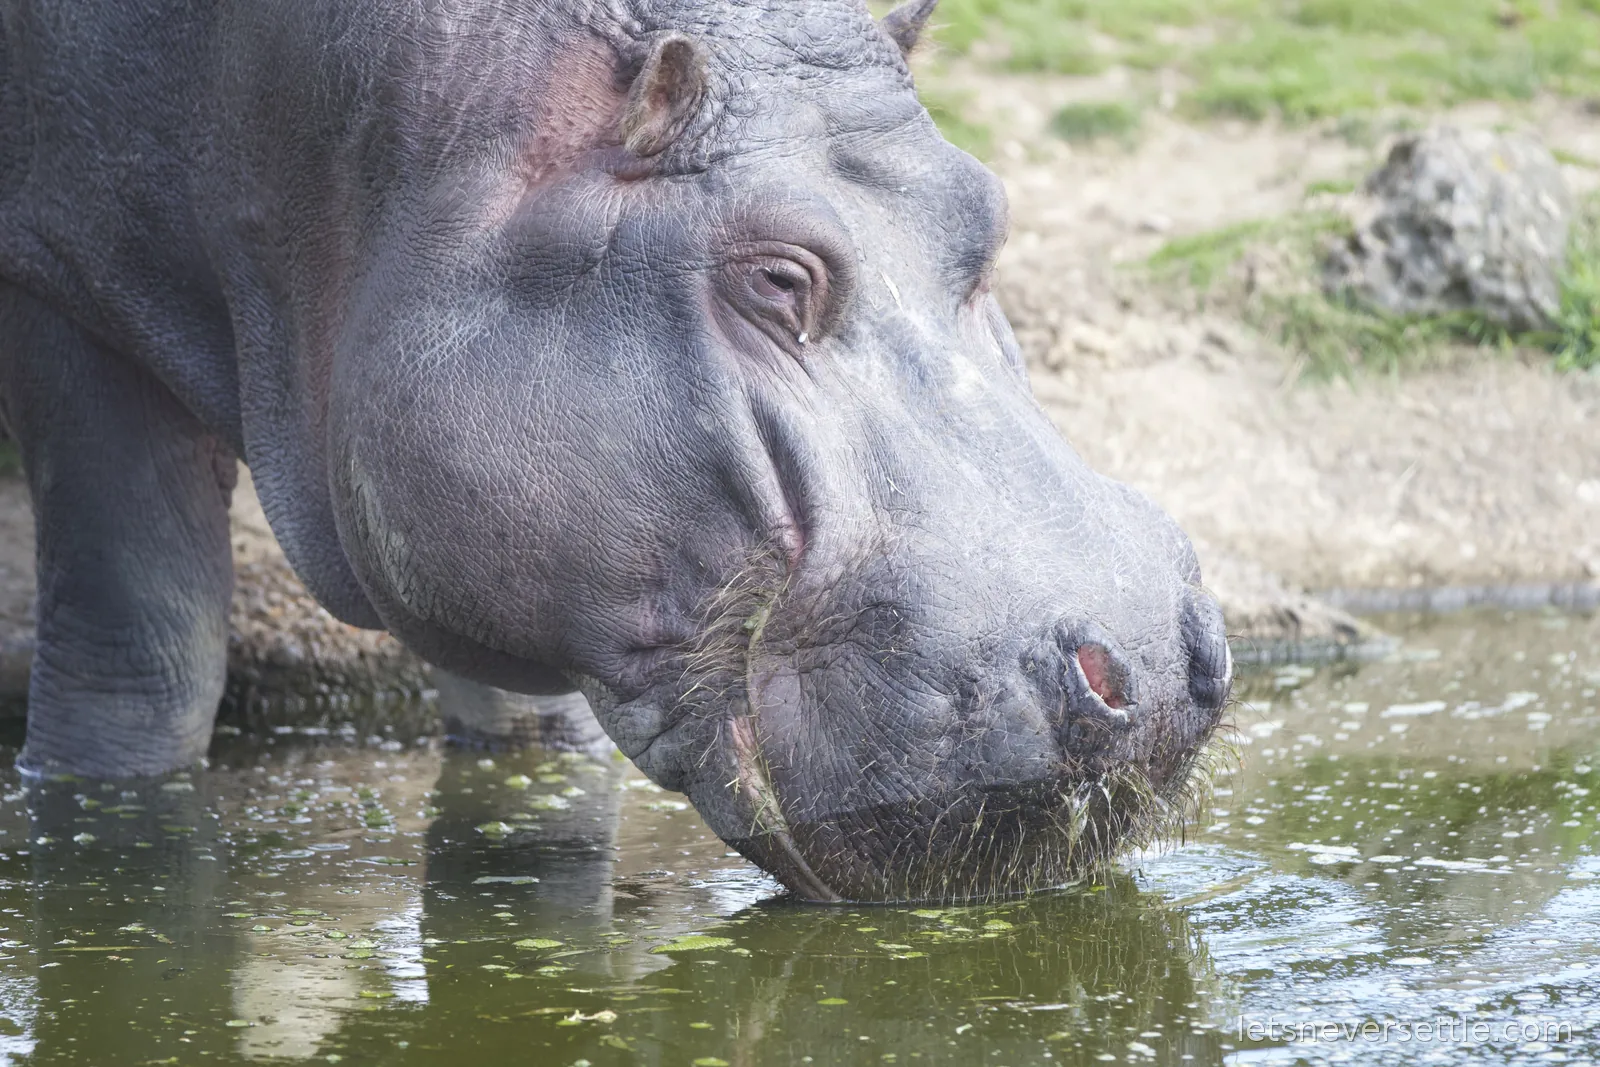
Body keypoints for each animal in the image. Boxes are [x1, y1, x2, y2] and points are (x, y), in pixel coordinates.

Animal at [0, 0, 1231, 901]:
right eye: (776, 277)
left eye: (990, 212)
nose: (1154, 665)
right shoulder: (61, 289)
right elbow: (141, 652)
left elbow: (527, 724)